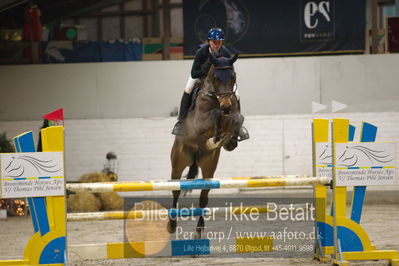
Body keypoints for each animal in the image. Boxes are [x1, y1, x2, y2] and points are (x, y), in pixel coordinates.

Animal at [166, 53, 244, 238]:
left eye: (233, 76)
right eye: (216, 77)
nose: (226, 106)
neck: (216, 98)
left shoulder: (232, 111)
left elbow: (235, 119)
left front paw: (230, 138)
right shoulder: (200, 122)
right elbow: (214, 114)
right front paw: (218, 132)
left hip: (209, 165)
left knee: (203, 196)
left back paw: (199, 230)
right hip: (178, 162)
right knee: (176, 190)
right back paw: (172, 225)